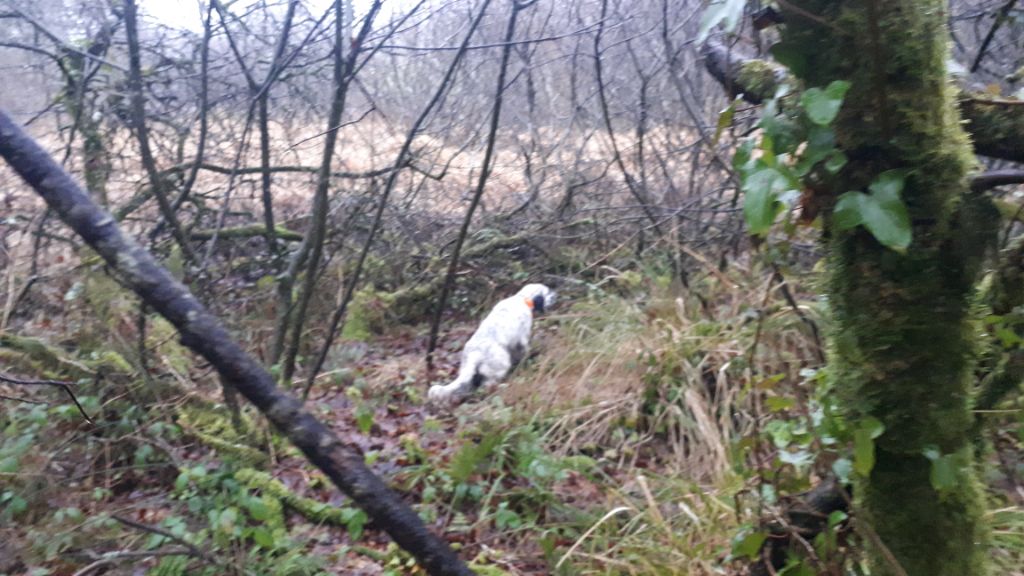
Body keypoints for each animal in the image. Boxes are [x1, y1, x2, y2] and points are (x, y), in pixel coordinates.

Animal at [428, 282, 557, 403]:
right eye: (548, 292)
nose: (556, 295)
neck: (522, 298)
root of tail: (475, 353)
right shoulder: (522, 339)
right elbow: (524, 350)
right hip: (501, 365)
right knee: (488, 385)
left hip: (468, 370)